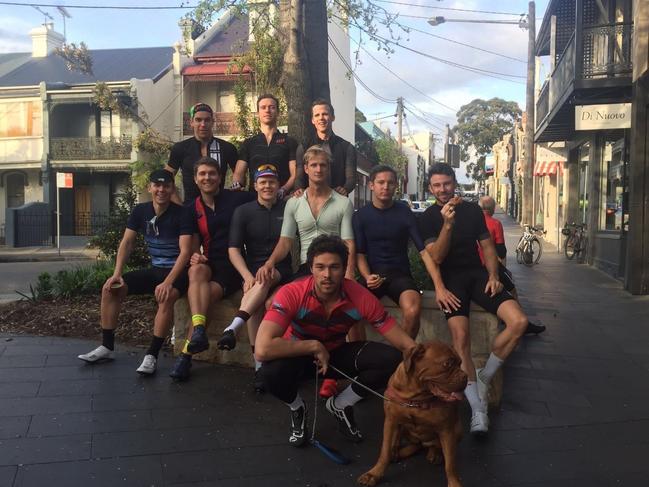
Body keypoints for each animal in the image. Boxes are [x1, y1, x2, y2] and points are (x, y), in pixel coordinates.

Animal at [356, 344, 468, 487]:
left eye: (460, 363)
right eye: (447, 363)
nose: (465, 376)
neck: (416, 396)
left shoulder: (446, 429)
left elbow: (450, 464)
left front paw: (454, 483)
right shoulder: (390, 421)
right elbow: (384, 452)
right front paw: (374, 474)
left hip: (457, 429)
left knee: (435, 445)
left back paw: (435, 453)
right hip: (402, 428)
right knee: (411, 443)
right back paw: (396, 452)